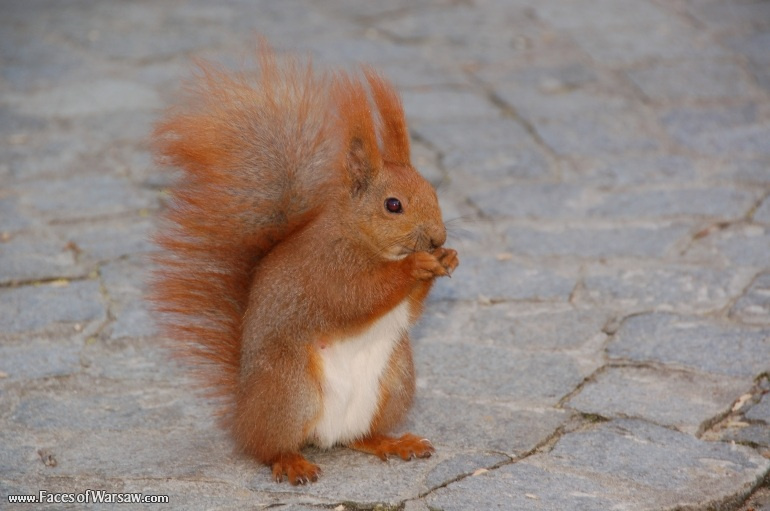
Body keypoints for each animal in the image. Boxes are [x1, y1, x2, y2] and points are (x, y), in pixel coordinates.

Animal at [150, 45, 459, 485]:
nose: (437, 238)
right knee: (266, 448)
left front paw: (447, 259)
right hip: (291, 387)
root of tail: (243, 412)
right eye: (393, 205)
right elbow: (357, 297)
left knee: (360, 437)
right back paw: (290, 462)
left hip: (394, 382)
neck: (361, 239)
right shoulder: (325, 270)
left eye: (433, 190)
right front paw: (415, 266)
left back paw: (394, 443)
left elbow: (410, 310)